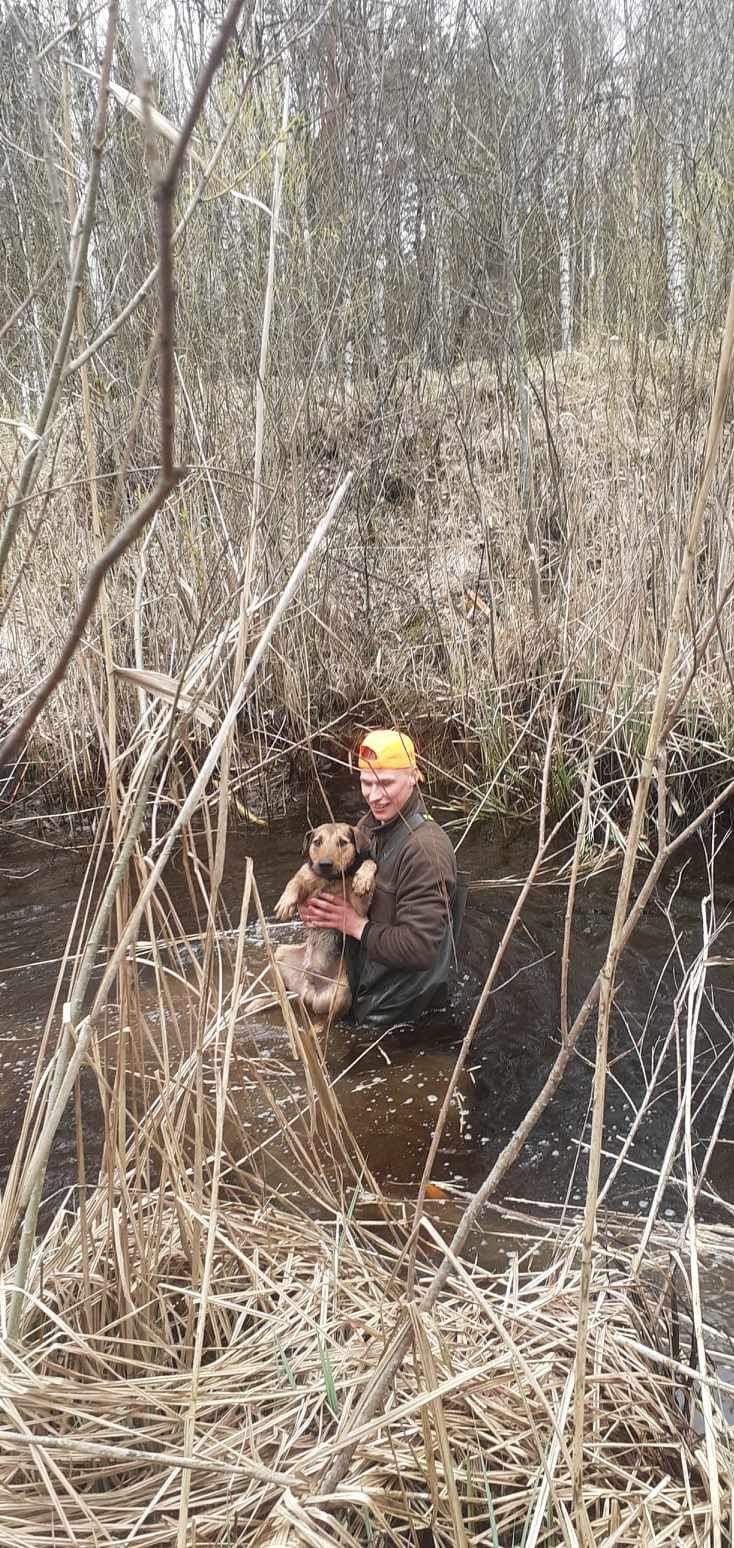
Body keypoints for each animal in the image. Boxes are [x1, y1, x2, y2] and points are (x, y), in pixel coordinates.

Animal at [270, 817, 376, 1021]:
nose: (325, 864)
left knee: (326, 1019)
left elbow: (369, 861)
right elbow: (295, 881)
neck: (331, 880)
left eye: (342, 842)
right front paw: (286, 902)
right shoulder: (306, 877)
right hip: (280, 954)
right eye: (317, 842)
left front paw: (363, 878)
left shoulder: (359, 908)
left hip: (340, 993)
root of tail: (308, 986)